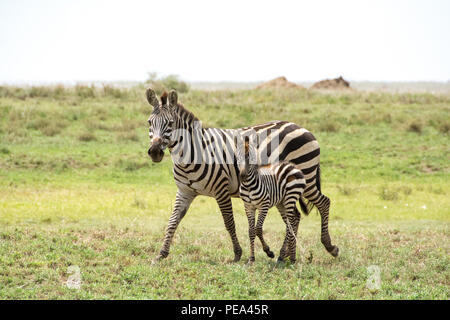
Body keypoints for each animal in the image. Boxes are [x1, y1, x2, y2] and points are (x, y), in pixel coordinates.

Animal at [146, 88, 340, 262]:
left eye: (171, 123)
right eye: (149, 123)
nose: (155, 152)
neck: (193, 153)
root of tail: (302, 127)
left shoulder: (221, 189)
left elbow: (229, 222)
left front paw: (238, 253)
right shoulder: (185, 191)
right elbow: (173, 221)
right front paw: (162, 253)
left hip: (306, 178)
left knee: (324, 203)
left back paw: (329, 246)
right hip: (287, 188)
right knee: (295, 217)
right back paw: (284, 254)